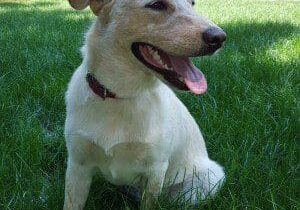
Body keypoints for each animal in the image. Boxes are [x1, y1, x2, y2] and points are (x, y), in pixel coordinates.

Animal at [64, 0, 226, 208]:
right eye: (156, 5)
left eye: (192, 3)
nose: (219, 37)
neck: (122, 95)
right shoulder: (77, 165)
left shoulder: (155, 170)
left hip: (205, 181)